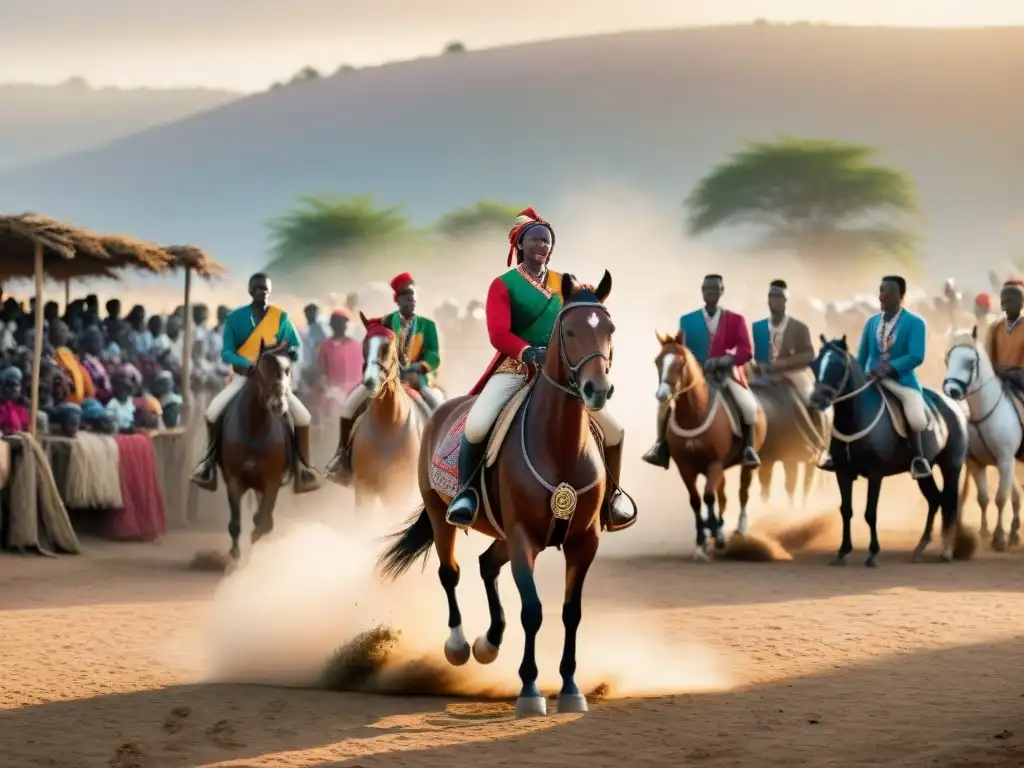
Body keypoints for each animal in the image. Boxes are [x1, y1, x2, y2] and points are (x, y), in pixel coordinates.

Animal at [218, 342, 294, 561]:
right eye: (263, 369)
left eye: (288, 370)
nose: (279, 406)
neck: (254, 428)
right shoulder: (234, 480)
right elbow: (236, 523)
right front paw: (235, 556)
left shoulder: (271, 481)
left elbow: (263, 521)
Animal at [376, 274, 614, 720]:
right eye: (570, 330)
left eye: (609, 329)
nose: (597, 389)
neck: (559, 446)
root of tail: (440, 409)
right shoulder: (523, 539)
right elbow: (533, 611)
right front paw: (530, 689)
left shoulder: (582, 542)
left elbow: (570, 613)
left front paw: (570, 687)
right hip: (441, 514)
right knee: (450, 572)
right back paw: (459, 645)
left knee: (487, 564)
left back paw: (490, 642)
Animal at [655, 331, 770, 561]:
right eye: (657, 361)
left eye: (681, 363)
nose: (662, 395)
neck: (693, 416)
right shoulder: (685, 467)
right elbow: (696, 500)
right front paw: (702, 541)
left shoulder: (714, 463)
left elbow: (709, 497)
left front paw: (711, 535)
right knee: (722, 497)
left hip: (743, 464)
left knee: (742, 492)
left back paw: (738, 530)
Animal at [806, 339, 966, 569]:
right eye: (815, 364)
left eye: (839, 366)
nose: (816, 402)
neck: (854, 417)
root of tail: (954, 405)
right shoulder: (842, 472)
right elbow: (846, 510)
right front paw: (842, 552)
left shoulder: (876, 473)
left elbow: (870, 512)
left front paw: (873, 553)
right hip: (923, 473)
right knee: (935, 500)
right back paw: (919, 548)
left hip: (951, 466)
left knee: (950, 503)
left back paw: (946, 552)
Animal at [937, 327, 1019, 548]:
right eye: (947, 359)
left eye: (970, 362)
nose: (952, 391)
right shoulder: (974, 462)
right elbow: (983, 498)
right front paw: (984, 531)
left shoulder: (1005, 461)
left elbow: (1001, 497)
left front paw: (999, 537)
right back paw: (1015, 531)